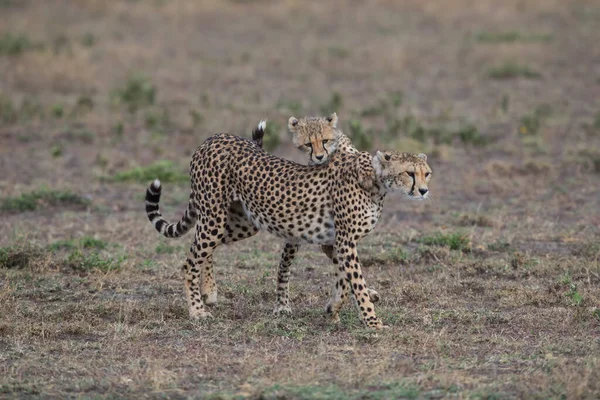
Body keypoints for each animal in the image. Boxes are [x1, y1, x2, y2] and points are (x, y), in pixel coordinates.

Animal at [144, 131, 432, 328]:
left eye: (426, 173)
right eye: (409, 173)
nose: (423, 190)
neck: (374, 181)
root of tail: (214, 137)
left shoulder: (336, 241)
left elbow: (344, 280)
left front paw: (333, 309)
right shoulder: (345, 241)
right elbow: (356, 283)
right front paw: (373, 322)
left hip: (242, 222)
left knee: (202, 249)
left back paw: (209, 291)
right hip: (214, 216)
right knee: (189, 262)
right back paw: (197, 310)